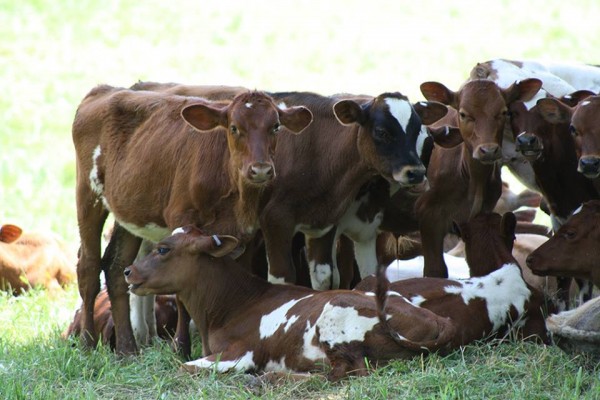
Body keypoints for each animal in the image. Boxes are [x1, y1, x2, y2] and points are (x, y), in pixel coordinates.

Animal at [72, 86, 312, 354]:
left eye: (276, 126)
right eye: (234, 127)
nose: (260, 169)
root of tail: (104, 90)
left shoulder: (245, 234)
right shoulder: (181, 219)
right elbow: (181, 292)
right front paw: (181, 347)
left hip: (130, 213)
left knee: (115, 267)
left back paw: (127, 349)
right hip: (88, 195)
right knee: (89, 268)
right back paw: (87, 343)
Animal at [124, 228, 454, 382]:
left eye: (163, 249)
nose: (128, 271)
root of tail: (440, 321)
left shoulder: (240, 353)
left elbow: (183, 368)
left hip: (336, 319)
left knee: (344, 371)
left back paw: (270, 377)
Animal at [414, 78, 540, 278]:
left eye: (504, 112)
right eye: (463, 114)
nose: (488, 150)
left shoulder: (482, 217)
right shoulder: (429, 218)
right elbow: (435, 271)